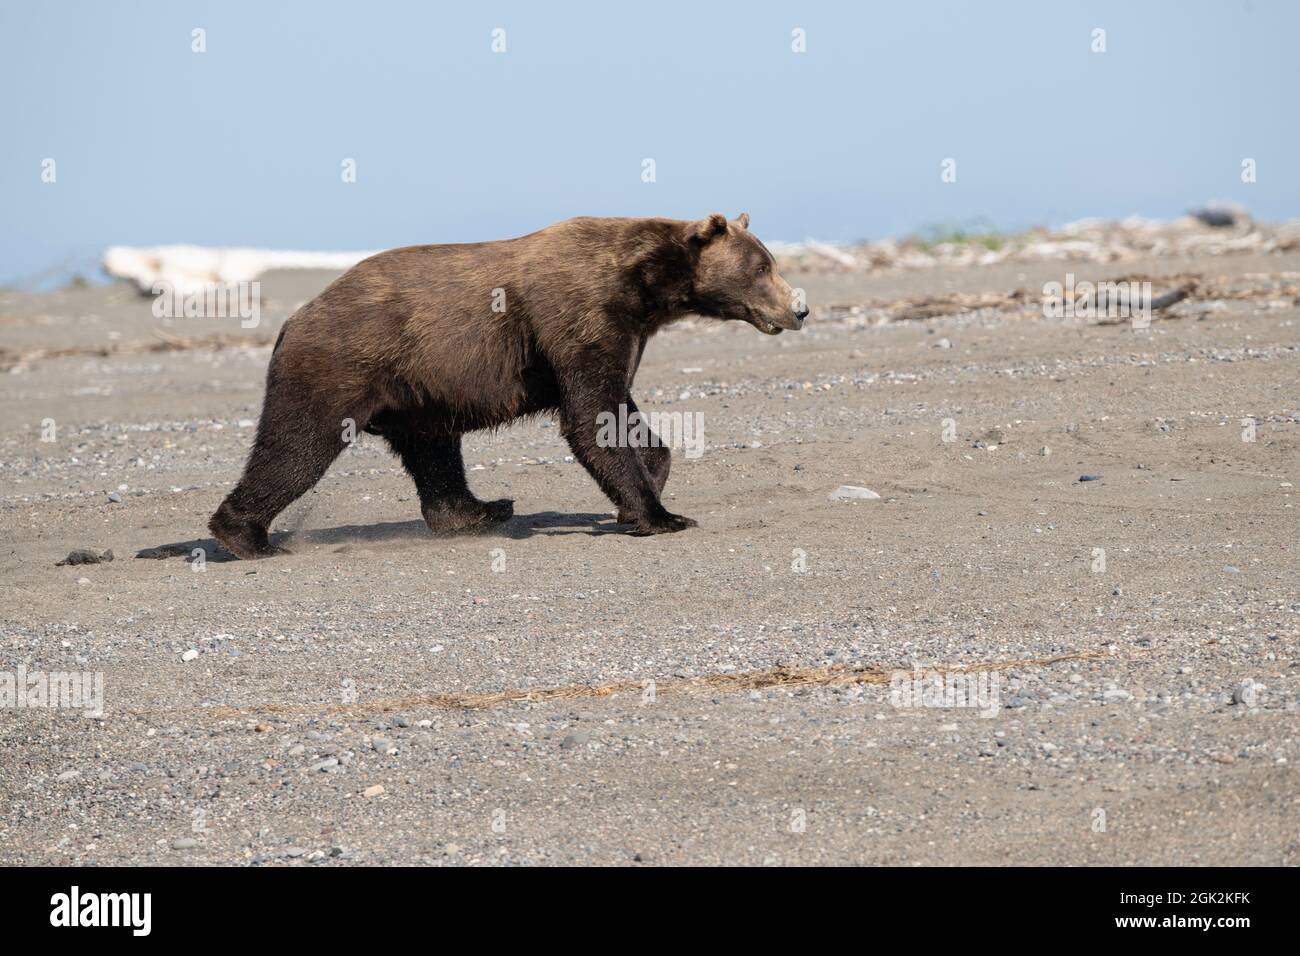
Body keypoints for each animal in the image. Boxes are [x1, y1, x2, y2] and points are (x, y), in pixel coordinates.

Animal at [208, 213, 806, 556]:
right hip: (340, 365)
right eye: (762, 267)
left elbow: (623, 414)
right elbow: (592, 418)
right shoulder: (576, 316)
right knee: (297, 444)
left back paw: (481, 510)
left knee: (434, 453)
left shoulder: (622, 332)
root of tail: (293, 319)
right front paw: (662, 516)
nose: (799, 308)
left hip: (418, 390)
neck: (644, 286)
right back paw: (248, 538)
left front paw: (648, 487)